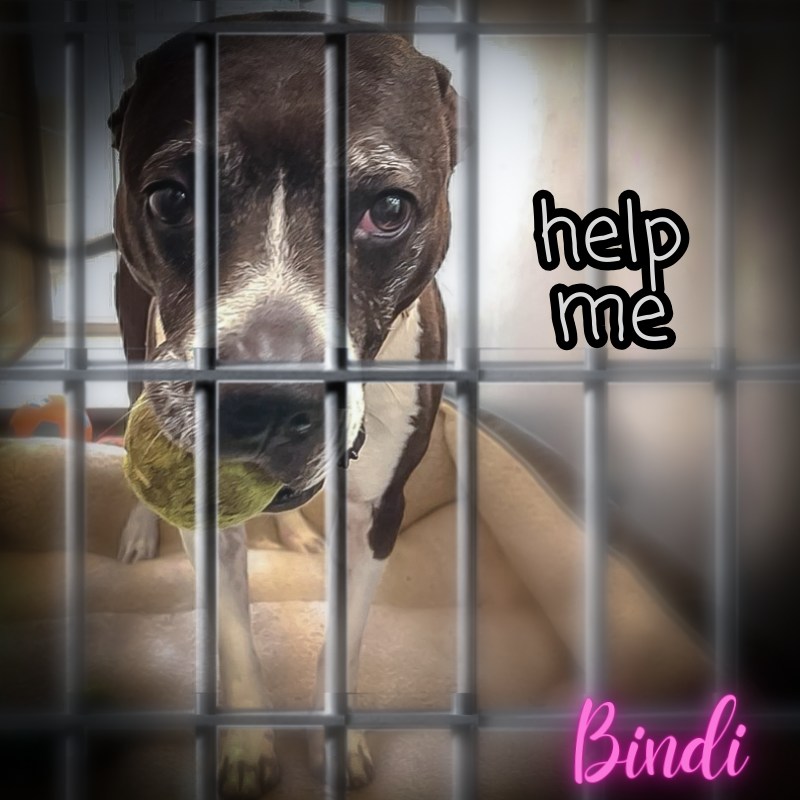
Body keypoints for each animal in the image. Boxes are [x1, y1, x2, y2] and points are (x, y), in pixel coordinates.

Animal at [110, 12, 458, 797]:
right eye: (172, 199)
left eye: (388, 209)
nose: (264, 402)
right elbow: (236, 642)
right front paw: (246, 749)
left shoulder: (381, 515)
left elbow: (346, 638)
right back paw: (141, 532)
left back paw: (296, 531)